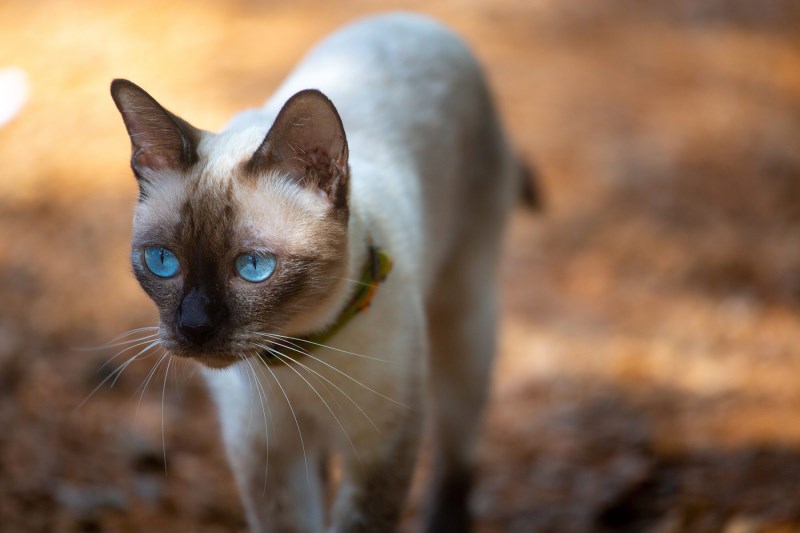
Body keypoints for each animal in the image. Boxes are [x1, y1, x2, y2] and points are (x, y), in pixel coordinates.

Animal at [111, 12, 524, 532]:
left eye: (253, 267)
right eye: (163, 262)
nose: (194, 326)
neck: (294, 359)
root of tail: (416, 18)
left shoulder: (381, 452)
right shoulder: (267, 457)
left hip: (465, 325)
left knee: (457, 452)